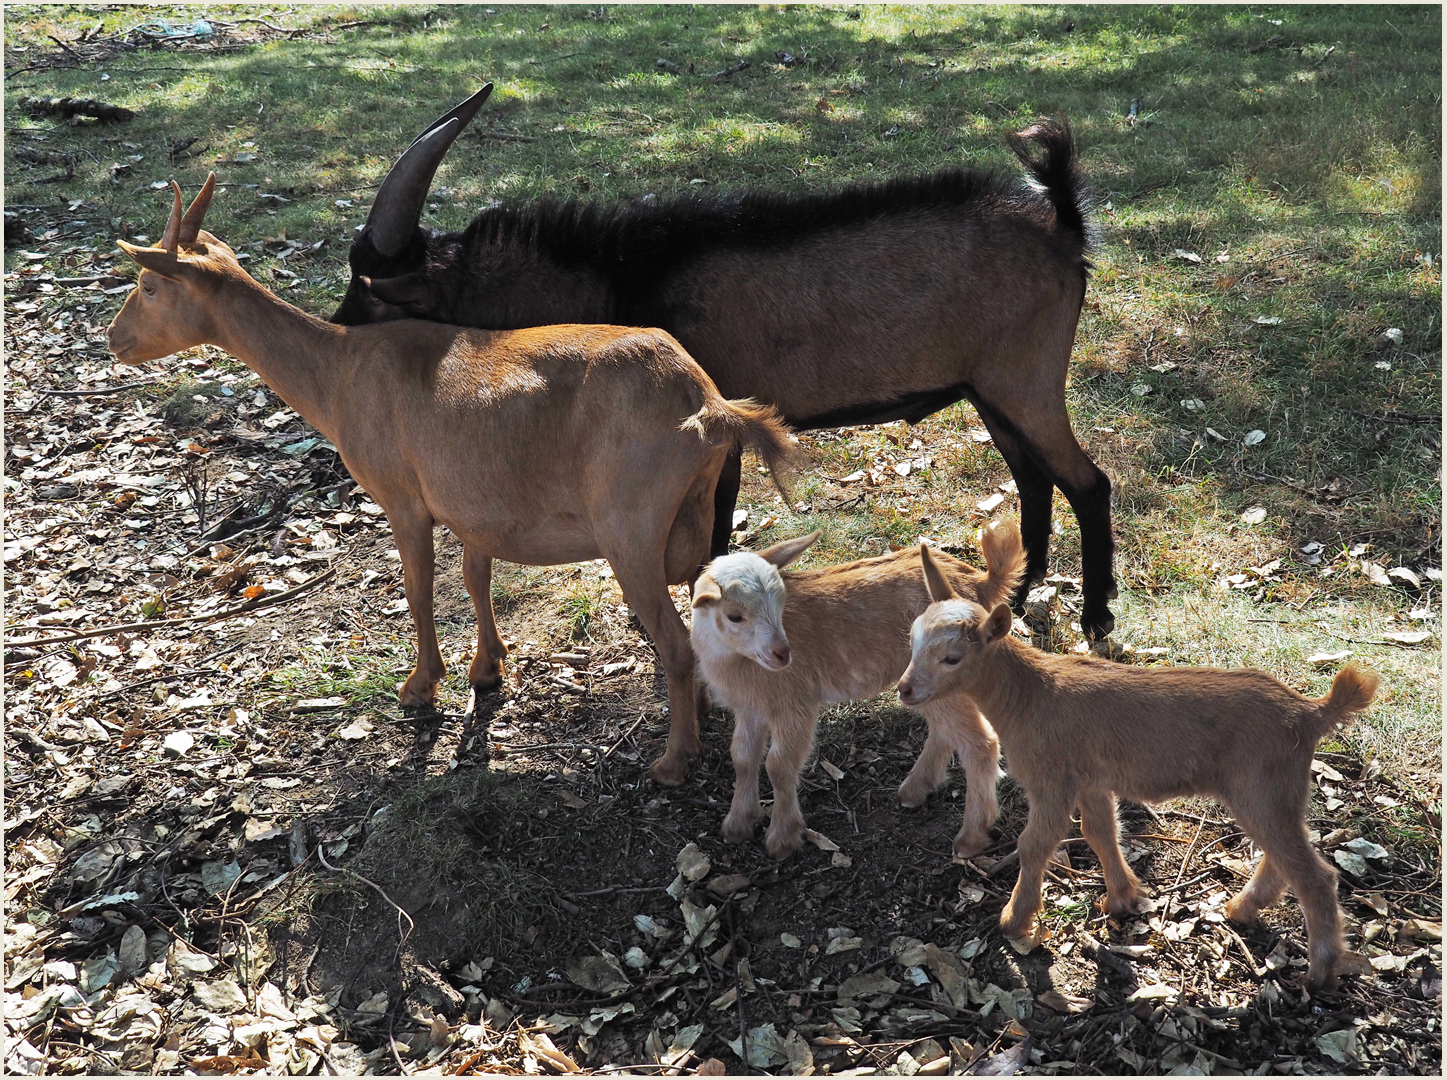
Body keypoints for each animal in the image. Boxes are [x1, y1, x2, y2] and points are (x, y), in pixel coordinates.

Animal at [331, 88, 1117, 639]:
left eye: (368, 296)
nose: (333, 339)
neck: (623, 278)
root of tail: (1062, 224)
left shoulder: (715, 433)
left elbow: (710, 537)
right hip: (991, 390)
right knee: (1033, 478)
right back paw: (1021, 590)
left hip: (1026, 380)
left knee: (1086, 481)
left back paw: (1097, 614)